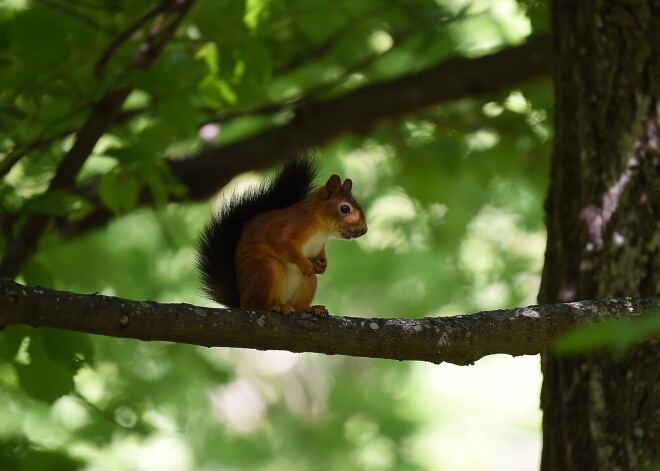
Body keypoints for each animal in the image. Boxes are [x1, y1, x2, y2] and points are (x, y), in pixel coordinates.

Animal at [196, 158, 368, 318]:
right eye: (345, 208)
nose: (364, 230)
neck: (321, 231)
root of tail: (242, 303)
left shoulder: (319, 246)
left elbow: (320, 254)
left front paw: (322, 265)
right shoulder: (283, 229)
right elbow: (284, 247)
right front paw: (305, 264)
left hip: (308, 283)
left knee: (299, 304)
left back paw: (311, 308)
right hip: (266, 270)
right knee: (259, 304)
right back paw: (276, 306)